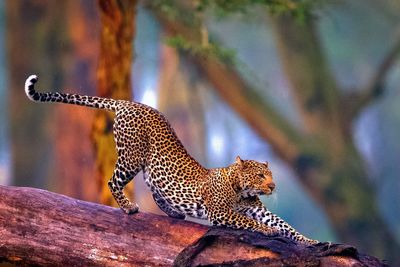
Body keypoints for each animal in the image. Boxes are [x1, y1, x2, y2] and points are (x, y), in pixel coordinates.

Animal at [24, 74, 318, 246]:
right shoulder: (221, 213)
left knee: (154, 188)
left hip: (149, 167)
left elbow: (285, 225)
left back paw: (174, 211)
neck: (240, 189)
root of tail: (128, 103)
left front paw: (312, 242)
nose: (273, 186)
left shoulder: (260, 210)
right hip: (131, 157)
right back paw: (129, 207)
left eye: (271, 176)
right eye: (260, 175)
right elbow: (252, 223)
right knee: (113, 181)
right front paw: (267, 232)